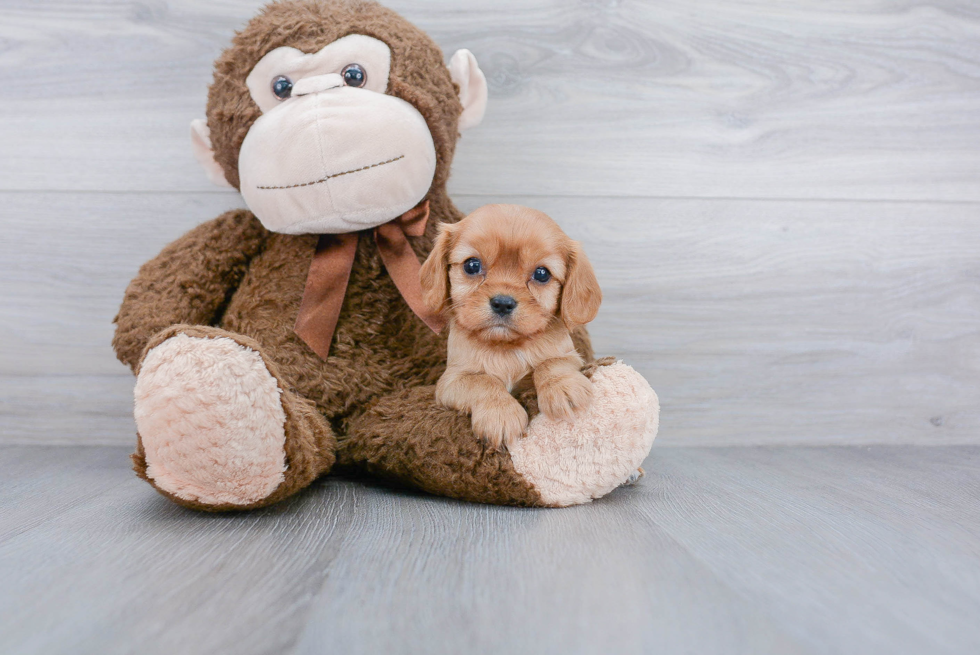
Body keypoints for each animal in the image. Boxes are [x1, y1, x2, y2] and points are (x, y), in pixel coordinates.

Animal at [418, 205, 600, 452]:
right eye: (472, 265)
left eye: (542, 273)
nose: (503, 303)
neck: (506, 348)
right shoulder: (451, 380)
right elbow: (483, 381)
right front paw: (500, 414)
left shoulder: (571, 357)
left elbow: (551, 363)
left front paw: (563, 388)